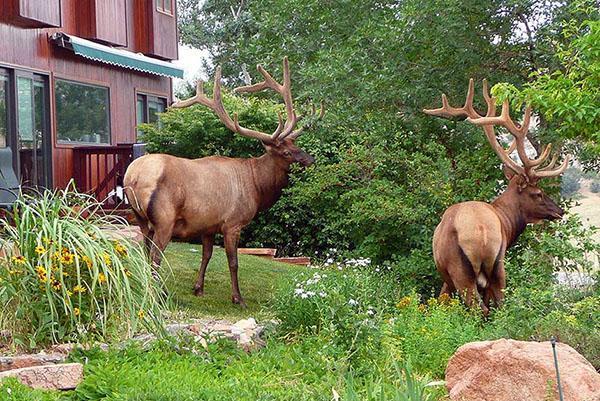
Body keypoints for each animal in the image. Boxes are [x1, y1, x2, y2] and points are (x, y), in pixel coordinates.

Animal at [122, 57, 326, 304]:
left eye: (296, 145)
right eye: (286, 153)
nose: (311, 160)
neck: (256, 186)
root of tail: (133, 177)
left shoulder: (208, 225)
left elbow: (207, 255)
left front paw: (198, 288)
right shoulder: (232, 223)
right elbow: (234, 262)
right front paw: (238, 297)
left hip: (141, 219)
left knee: (144, 253)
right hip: (164, 219)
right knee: (155, 256)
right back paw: (158, 294)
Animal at [424, 79, 568, 314]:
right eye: (538, 193)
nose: (559, 211)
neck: (506, 223)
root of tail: (481, 230)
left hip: (465, 270)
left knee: (482, 308)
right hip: (494, 265)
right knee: (496, 305)